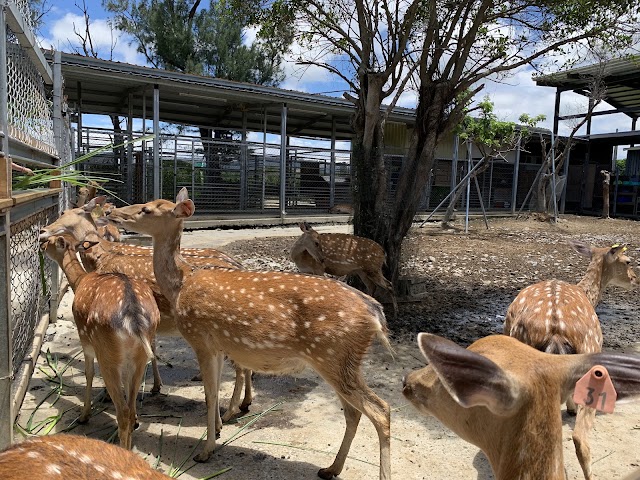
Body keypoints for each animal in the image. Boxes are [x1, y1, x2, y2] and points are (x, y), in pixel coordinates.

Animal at [39, 197, 253, 423]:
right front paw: (156, 386)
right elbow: (152, 347)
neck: (100, 258)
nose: (43, 232)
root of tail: (240, 265)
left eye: (63, 213)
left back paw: (230, 411)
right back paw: (244, 403)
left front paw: (108, 396)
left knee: (240, 367)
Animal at [41, 234, 160, 449]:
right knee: (130, 409)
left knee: (123, 412)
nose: (41, 244)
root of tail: (134, 318)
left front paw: (84, 416)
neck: (79, 282)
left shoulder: (85, 340)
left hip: (107, 352)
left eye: (52, 241)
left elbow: (88, 374)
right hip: (139, 355)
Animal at [106, 188, 392, 480]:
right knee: (354, 413)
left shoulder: (200, 339)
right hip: (342, 361)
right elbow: (215, 392)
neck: (181, 286)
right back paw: (331, 468)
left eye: (147, 209)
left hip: (333, 355)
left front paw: (205, 451)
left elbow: (210, 396)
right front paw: (218, 430)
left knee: (381, 410)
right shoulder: (218, 346)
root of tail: (375, 313)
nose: (112, 211)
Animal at [503, 240, 638, 480]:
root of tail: (555, 329)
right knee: (579, 438)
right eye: (628, 261)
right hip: (592, 360)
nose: (635, 280)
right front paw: (572, 408)